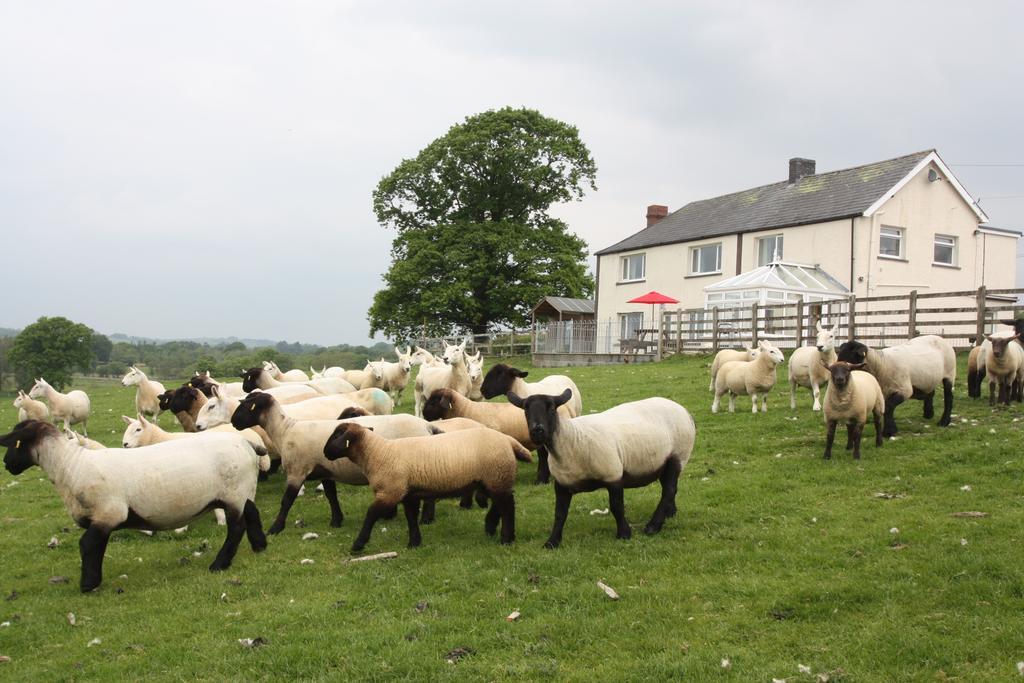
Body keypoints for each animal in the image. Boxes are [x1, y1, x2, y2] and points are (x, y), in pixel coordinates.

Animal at [0, 419, 270, 589]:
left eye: (16, 443)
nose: (6, 464)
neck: (70, 464)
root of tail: (248, 444)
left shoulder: (108, 512)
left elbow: (88, 545)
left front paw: (88, 584)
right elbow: (96, 545)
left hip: (234, 492)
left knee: (236, 528)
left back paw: (219, 564)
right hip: (244, 490)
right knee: (252, 513)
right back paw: (260, 546)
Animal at [321, 419, 532, 552]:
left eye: (337, 435)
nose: (324, 452)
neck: (378, 453)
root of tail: (507, 440)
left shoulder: (390, 491)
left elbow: (371, 514)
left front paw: (358, 544)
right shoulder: (408, 493)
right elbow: (411, 518)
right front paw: (414, 543)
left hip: (497, 474)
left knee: (508, 506)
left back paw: (506, 538)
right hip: (494, 478)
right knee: (501, 503)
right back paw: (490, 527)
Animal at [505, 389, 696, 548]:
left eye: (551, 408)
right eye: (525, 410)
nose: (537, 430)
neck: (571, 440)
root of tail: (684, 411)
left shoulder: (613, 475)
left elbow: (617, 507)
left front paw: (624, 533)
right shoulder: (561, 484)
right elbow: (559, 514)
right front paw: (552, 542)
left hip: (677, 456)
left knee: (669, 490)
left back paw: (653, 526)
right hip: (664, 462)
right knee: (669, 489)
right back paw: (670, 513)